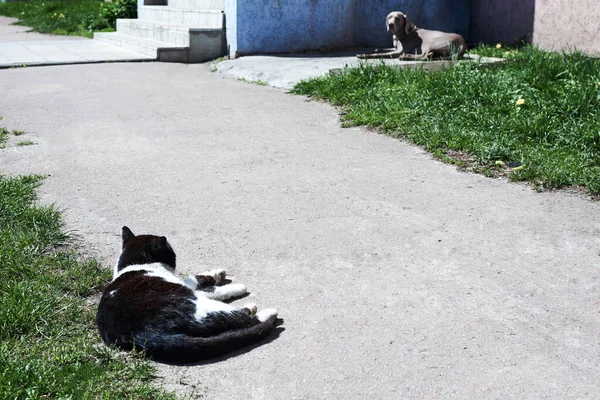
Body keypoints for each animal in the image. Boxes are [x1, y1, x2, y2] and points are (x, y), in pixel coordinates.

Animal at [96, 225, 278, 362]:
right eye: (172, 254)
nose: (175, 258)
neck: (134, 265)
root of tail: (141, 332)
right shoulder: (184, 286)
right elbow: (207, 286)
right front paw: (236, 286)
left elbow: (199, 278)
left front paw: (217, 274)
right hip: (200, 306)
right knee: (240, 318)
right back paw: (265, 312)